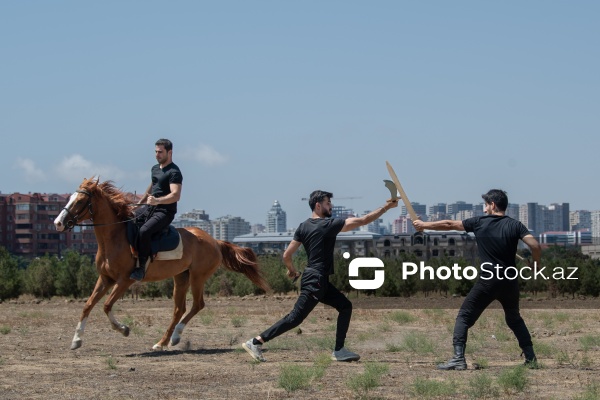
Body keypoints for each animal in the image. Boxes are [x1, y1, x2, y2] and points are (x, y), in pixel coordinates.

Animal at [54, 178, 270, 350]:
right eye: (70, 198)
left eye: (80, 201)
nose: (58, 223)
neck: (115, 238)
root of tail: (215, 241)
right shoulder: (105, 278)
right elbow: (88, 305)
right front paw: (76, 340)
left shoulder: (125, 280)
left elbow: (106, 305)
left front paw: (123, 329)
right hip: (181, 277)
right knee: (179, 309)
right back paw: (162, 342)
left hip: (197, 277)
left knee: (197, 305)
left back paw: (174, 337)